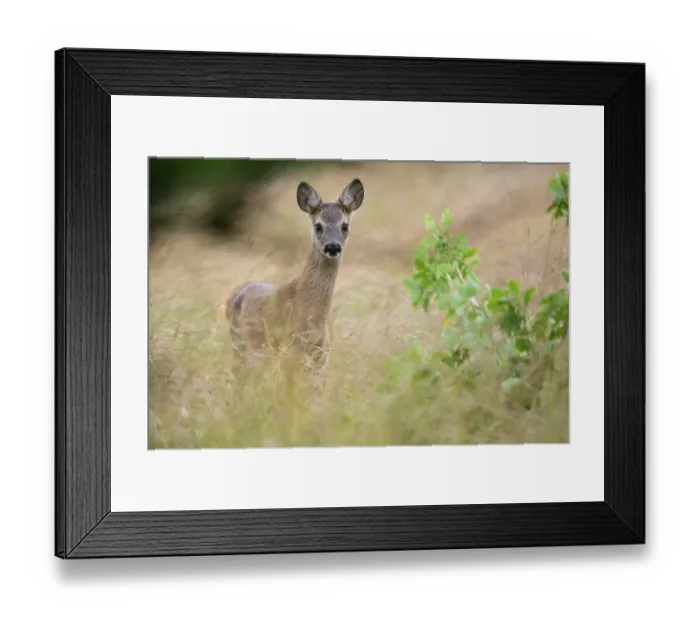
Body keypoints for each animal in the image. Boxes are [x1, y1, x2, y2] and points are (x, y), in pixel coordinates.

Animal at [224, 179, 365, 392]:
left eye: (345, 226)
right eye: (318, 226)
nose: (333, 247)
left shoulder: (322, 356)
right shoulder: (290, 351)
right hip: (240, 343)